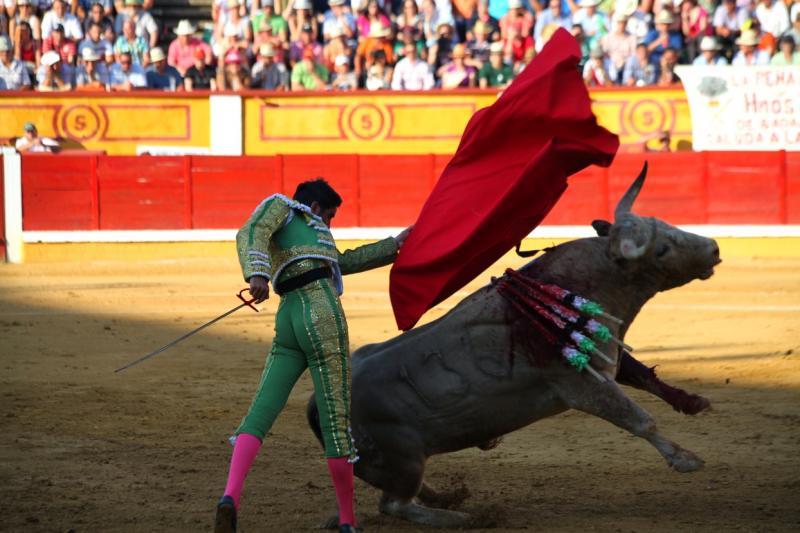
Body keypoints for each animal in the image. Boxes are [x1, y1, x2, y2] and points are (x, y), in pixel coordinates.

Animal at [310, 164, 720, 524]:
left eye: (666, 224)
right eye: (661, 250)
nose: (714, 248)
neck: (593, 279)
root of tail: (316, 404)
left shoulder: (604, 361)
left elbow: (644, 380)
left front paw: (693, 403)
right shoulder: (584, 386)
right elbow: (640, 420)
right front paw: (687, 460)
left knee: (404, 496)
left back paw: (448, 497)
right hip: (403, 457)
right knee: (394, 505)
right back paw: (461, 517)